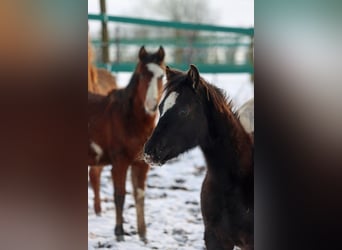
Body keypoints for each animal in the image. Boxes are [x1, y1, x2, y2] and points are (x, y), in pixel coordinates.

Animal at [88, 46, 166, 242]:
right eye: (143, 74)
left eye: (161, 76)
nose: (152, 105)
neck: (129, 120)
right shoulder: (119, 163)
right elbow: (120, 196)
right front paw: (119, 233)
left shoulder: (141, 164)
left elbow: (139, 196)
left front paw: (143, 235)